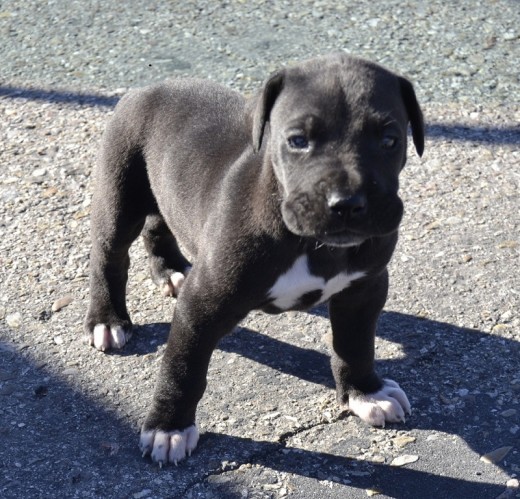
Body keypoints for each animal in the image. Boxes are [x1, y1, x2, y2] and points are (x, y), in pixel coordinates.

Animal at [83, 52, 422, 466]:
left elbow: (356, 343)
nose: (346, 204)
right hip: (120, 191)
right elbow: (182, 367)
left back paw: (172, 269)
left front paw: (366, 393)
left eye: (390, 140)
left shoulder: (364, 288)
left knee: (158, 222)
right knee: (109, 257)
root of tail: (151, 87)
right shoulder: (204, 303)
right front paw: (169, 428)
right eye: (297, 141)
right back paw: (107, 319)